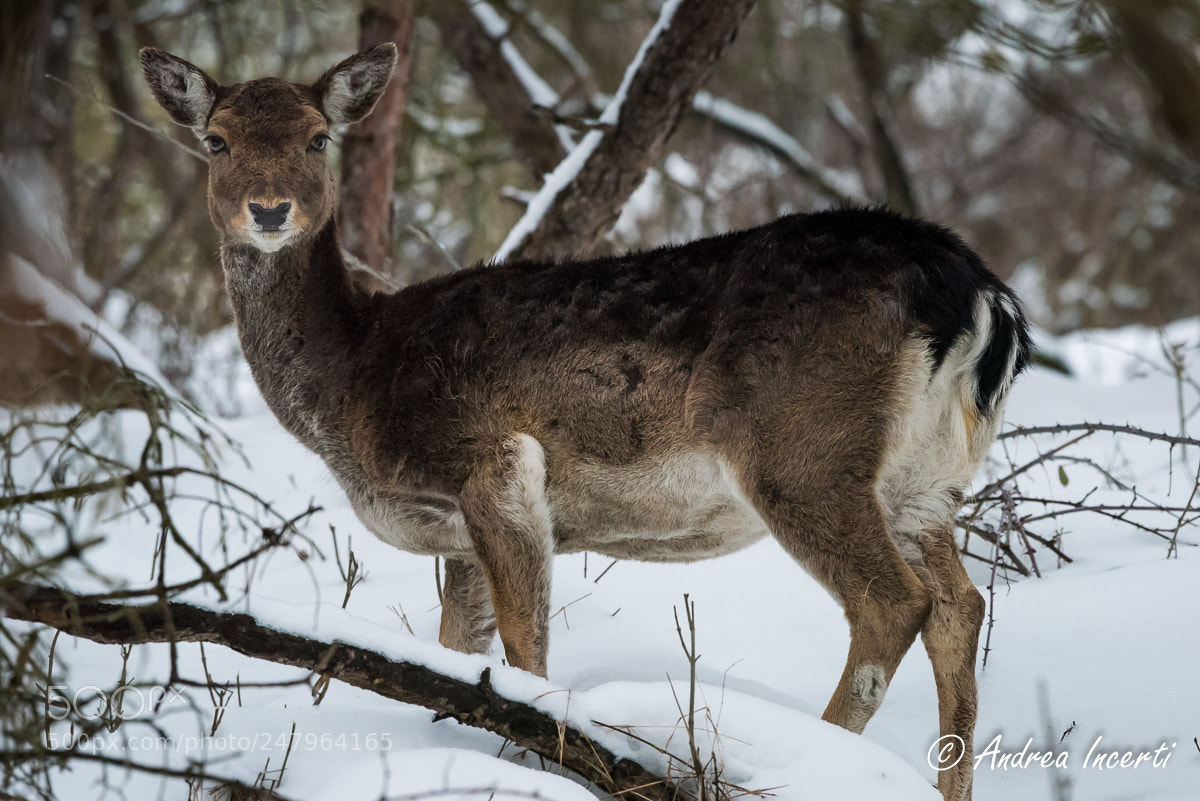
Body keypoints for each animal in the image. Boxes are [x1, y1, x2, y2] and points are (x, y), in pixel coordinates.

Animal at [140, 42, 1030, 801]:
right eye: (216, 140)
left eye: (319, 137)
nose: (269, 209)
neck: (352, 377)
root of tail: (975, 290)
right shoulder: (455, 535)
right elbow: (453, 654)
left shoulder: (494, 460)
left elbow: (526, 655)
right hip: (926, 480)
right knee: (962, 606)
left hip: (804, 450)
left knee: (894, 603)